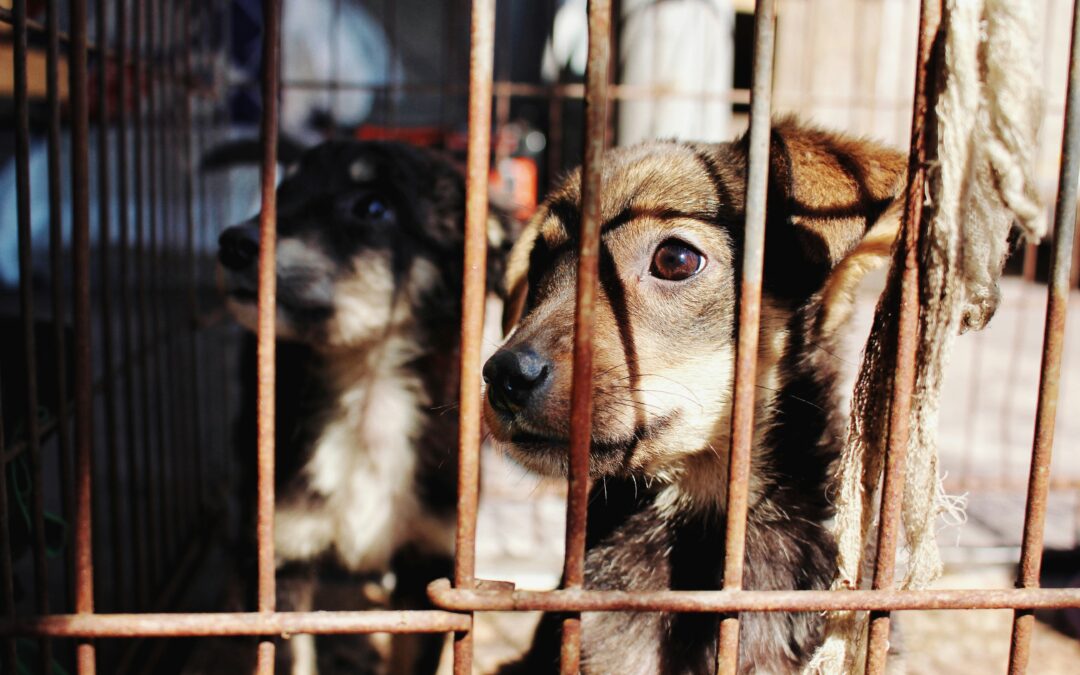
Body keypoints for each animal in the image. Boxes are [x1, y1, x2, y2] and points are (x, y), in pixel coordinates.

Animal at [214, 139, 514, 669]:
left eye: (373, 207)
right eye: (284, 188)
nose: (232, 243)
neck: (370, 392)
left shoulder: (429, 562)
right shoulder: (284, 554)